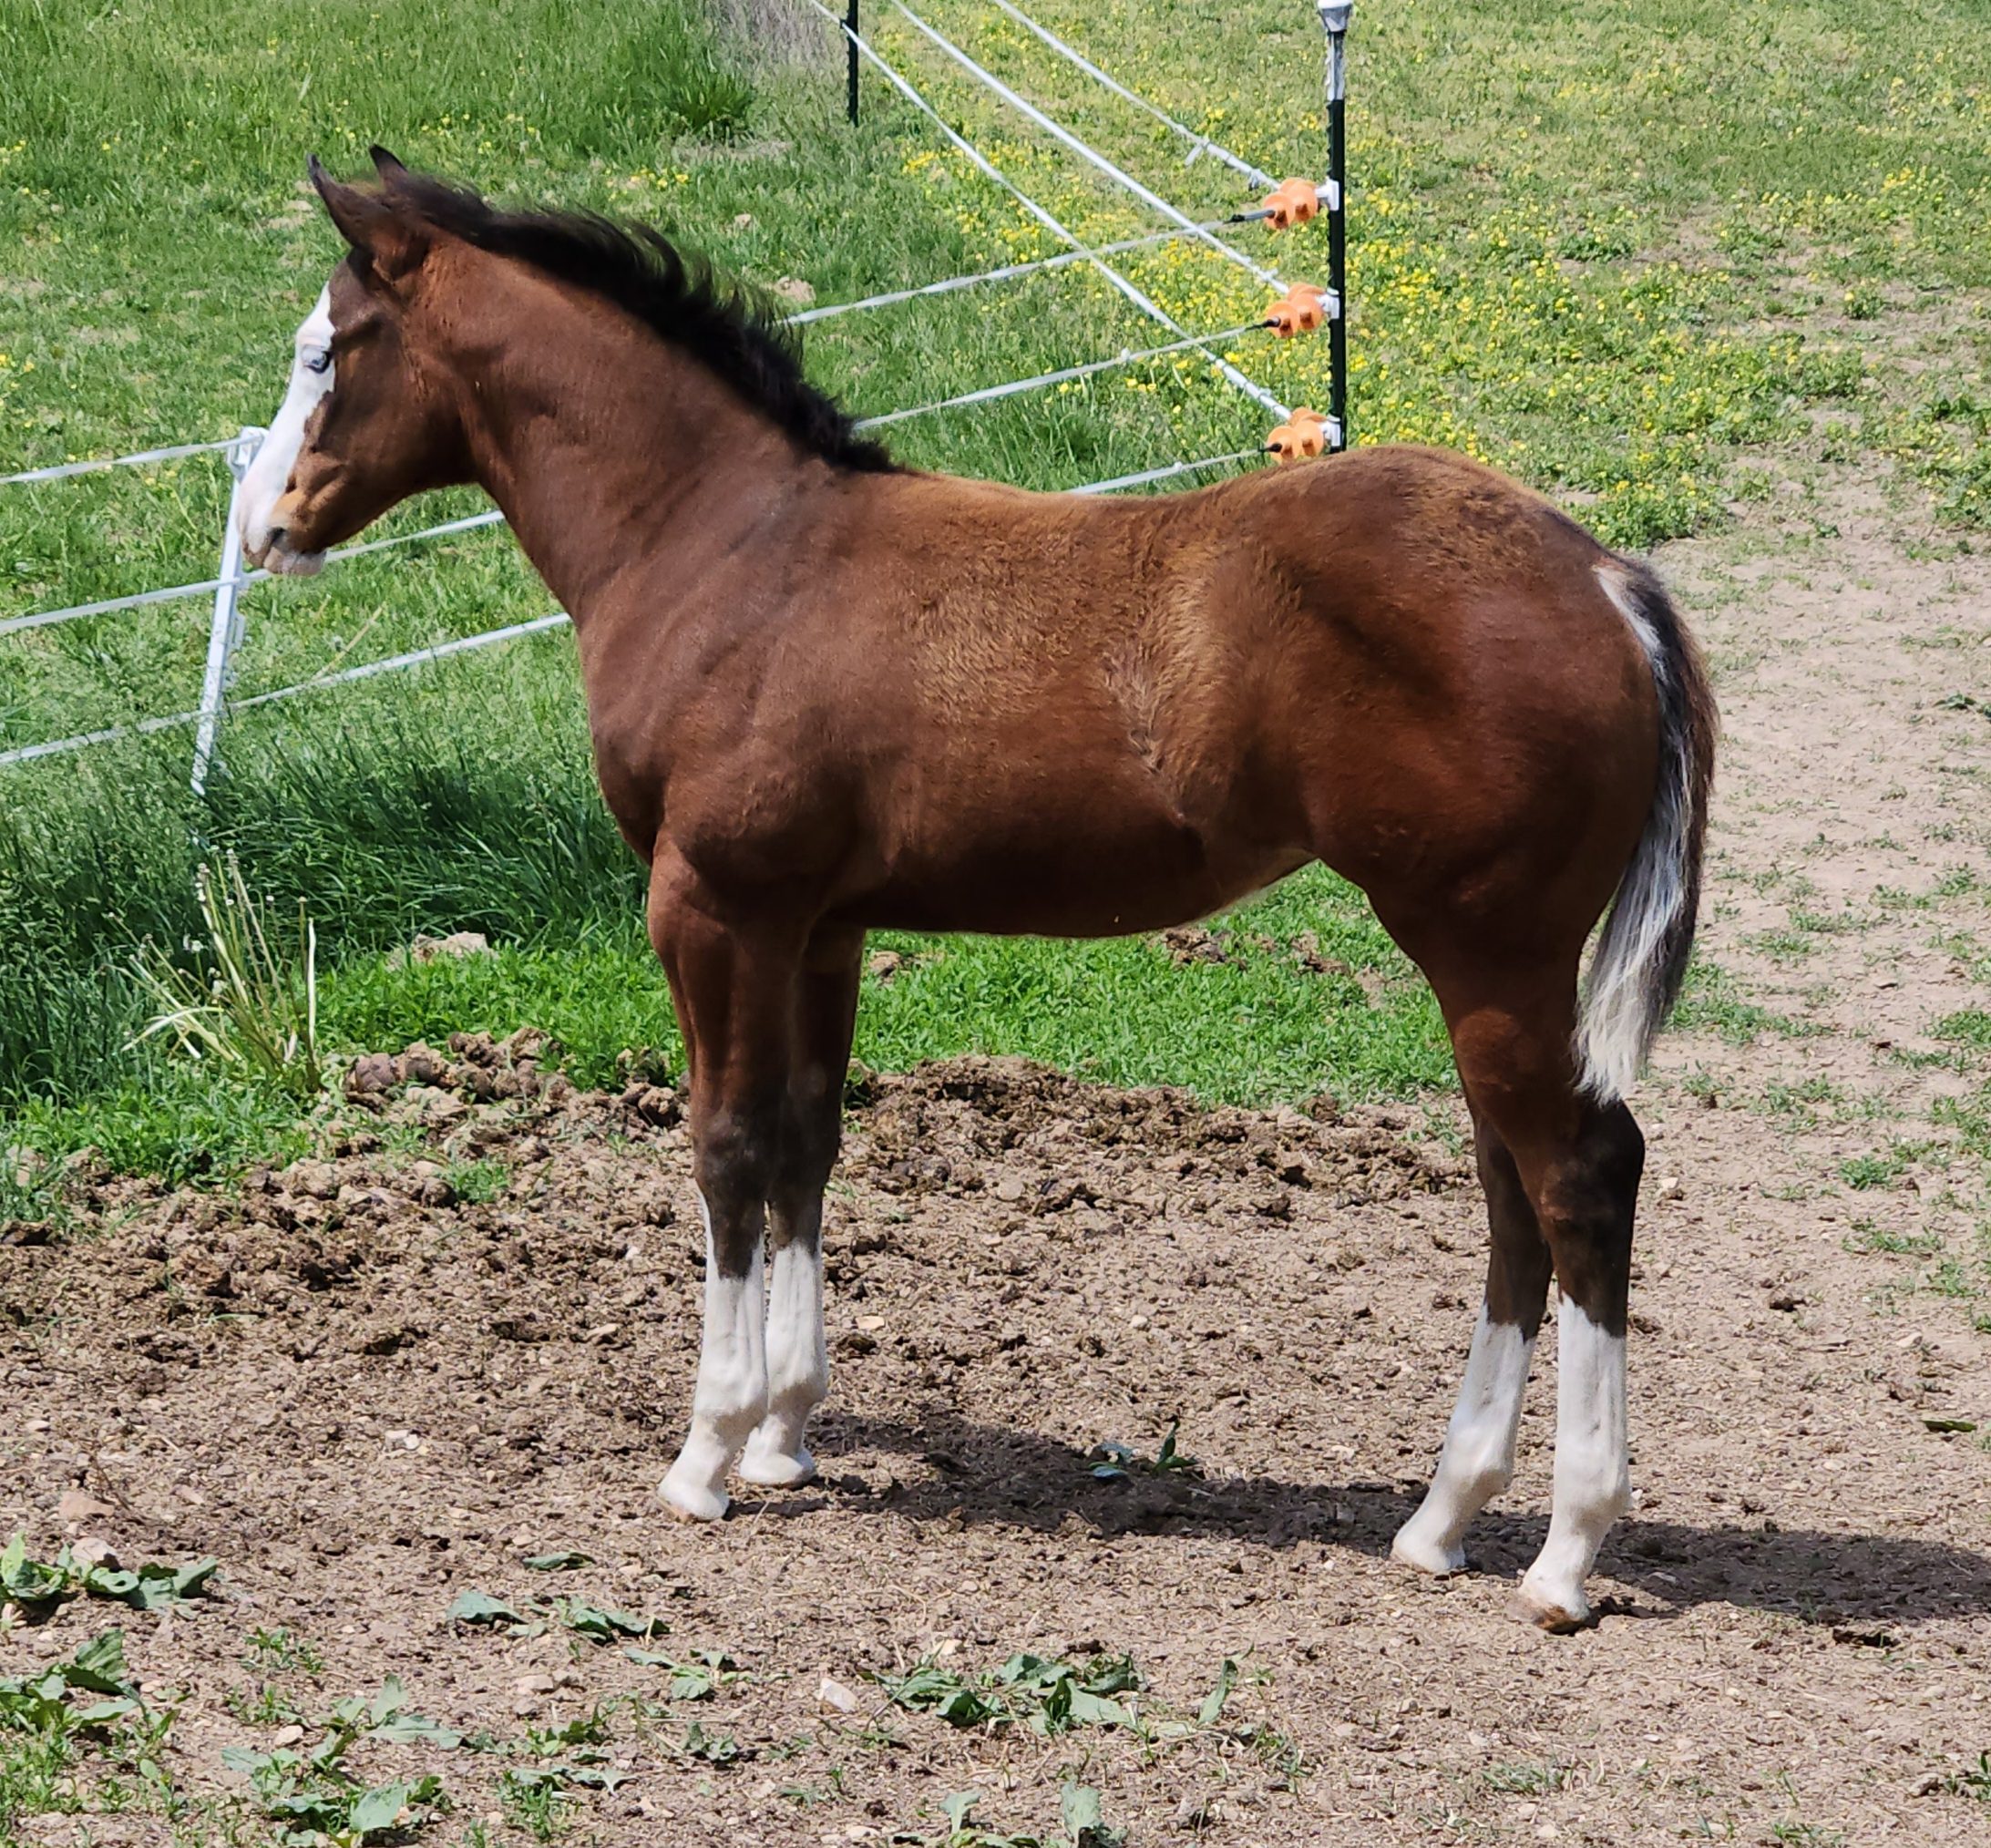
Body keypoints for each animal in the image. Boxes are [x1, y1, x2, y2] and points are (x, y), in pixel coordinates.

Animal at [239, 151, 1715, 1632]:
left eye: (326, 349)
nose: (264, 525)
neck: (726, 552)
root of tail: (1602, 576)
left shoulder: (709, 906)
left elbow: (724, 1144)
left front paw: (707, 1450)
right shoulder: (818, 925)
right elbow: (804, 1139)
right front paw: (785, 1434)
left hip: (1487, 949)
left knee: (1576, 1177)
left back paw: (1565, 1552)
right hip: (1487, 969)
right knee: (1509, 1189)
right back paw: (1442, 1517)